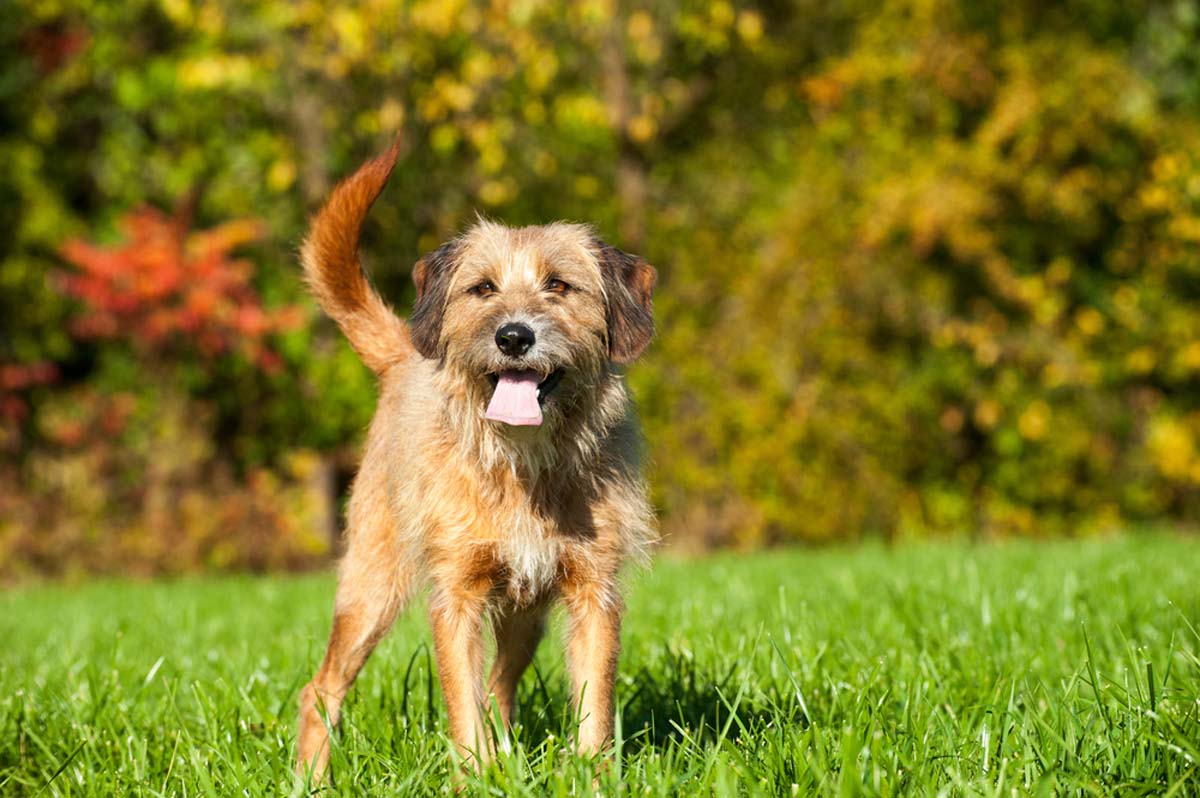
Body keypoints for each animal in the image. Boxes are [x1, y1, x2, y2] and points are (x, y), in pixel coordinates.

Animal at [296, 138, 662, 777]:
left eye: (559, 286)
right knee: (321, 690)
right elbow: (462, 705)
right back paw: (310, 778)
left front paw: (591, 776)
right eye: (483, 289)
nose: (513, 337)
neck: (523, 466)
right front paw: (473, 777)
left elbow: (594, 701)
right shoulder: (457, 596)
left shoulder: (594, 592)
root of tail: (404, 356)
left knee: (499, 685)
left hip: (526, 616)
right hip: (370, 589)